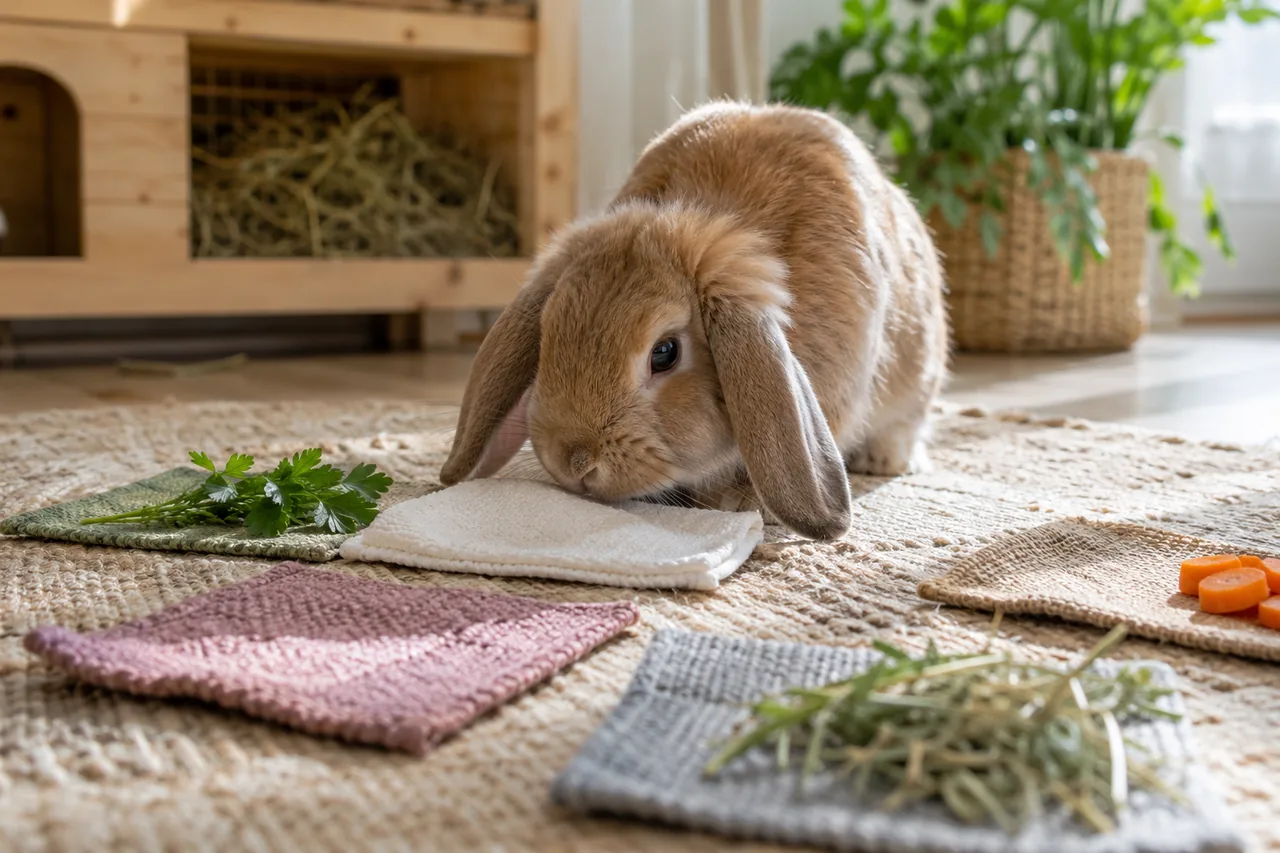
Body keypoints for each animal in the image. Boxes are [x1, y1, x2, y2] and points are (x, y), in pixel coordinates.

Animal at [439, 100, 949, 541]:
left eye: (665, 353)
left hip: (919, 384)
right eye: (547, 338)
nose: (575, 461)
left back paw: (882, 460)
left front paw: (741, 502)